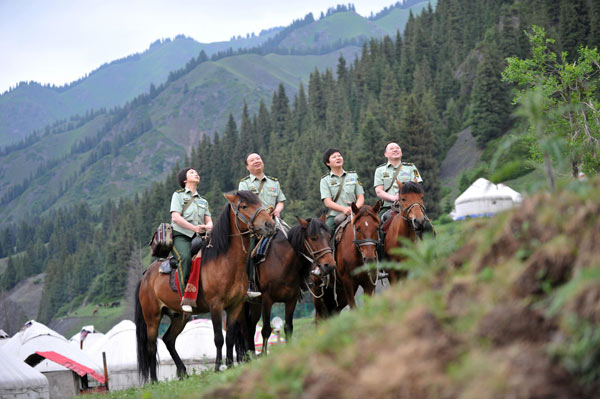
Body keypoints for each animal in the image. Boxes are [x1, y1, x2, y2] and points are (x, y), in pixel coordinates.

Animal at [135, 191, 274, 384]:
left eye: (260, 203)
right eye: (244, 206)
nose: (270, 224)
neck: (225, 261)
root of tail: (146, 275)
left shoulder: (235, 306)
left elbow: (230, 337)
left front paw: (229, 365)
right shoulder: (216, 306)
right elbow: (218, 338)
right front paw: (218, 367)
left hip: (179, 316)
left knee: (169, 340)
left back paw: (183, 372)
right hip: (152, 317)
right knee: (151, 347)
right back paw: (154, 381)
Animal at [245, 216, 338, 356]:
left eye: (329, 236)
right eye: (313, 238)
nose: (330, 265)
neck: (282, 262)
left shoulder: (291, 299)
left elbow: (288, 327)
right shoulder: (267, 300)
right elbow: (266, 329)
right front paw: (264, 355)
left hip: (255, 304)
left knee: (250, 327)